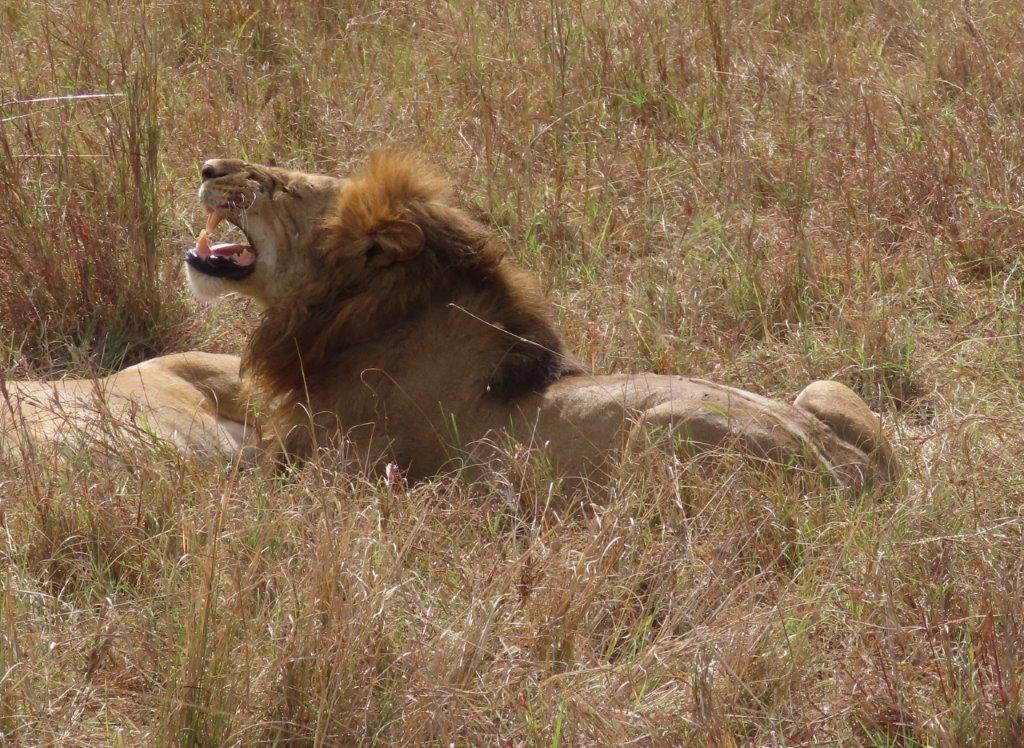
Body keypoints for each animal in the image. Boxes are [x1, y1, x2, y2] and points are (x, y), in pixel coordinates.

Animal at [185, 153, 896, 491]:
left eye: (285, 187)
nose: (208, 167)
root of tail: (851, 474)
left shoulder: (334, 470)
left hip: (659, 429)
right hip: (823, 390)